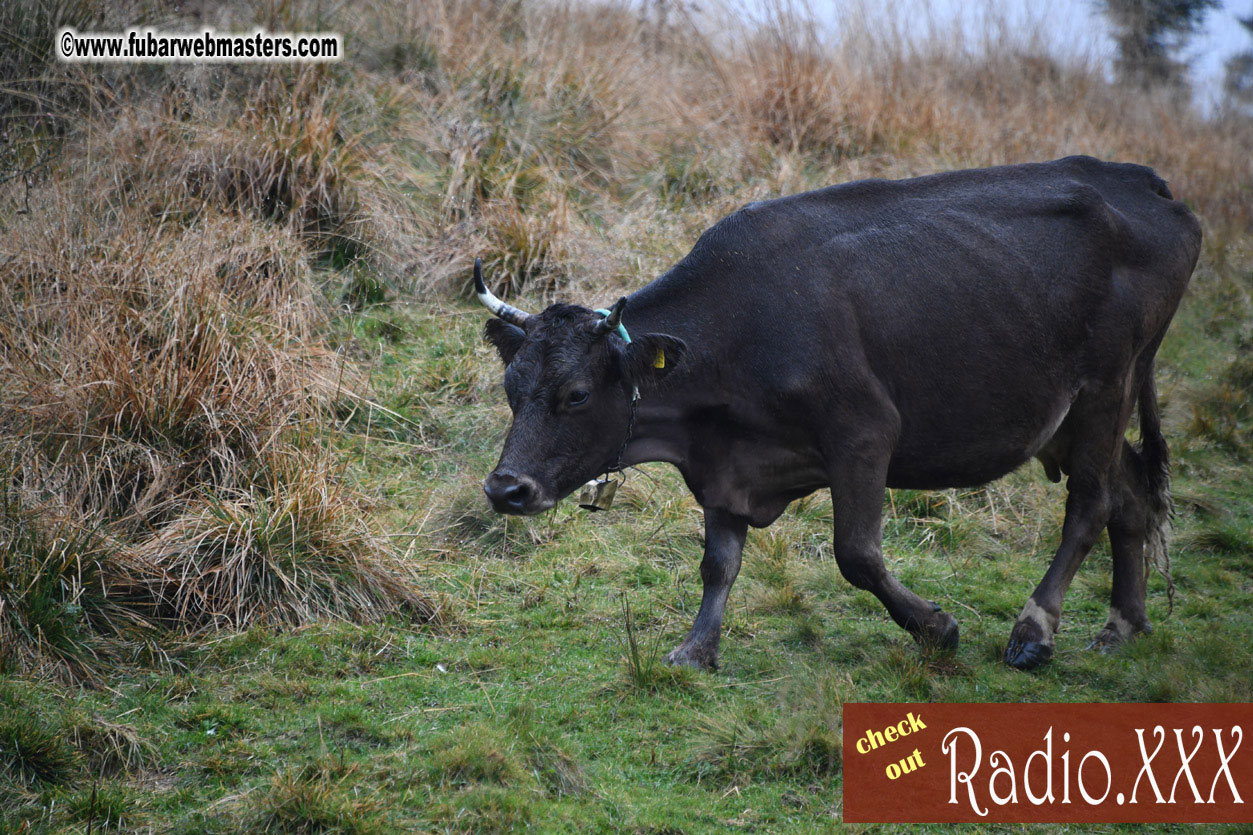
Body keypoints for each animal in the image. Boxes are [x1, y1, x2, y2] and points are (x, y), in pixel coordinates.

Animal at [471, 152, 1202, 666]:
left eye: (575, 394)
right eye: (510, 387)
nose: (506, 488)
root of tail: (1143, 183)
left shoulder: (864, 432)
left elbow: (855, 554)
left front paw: (936, 628)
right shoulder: (724, 465)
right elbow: (718, 562)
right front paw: (696, 648)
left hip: (1108, 385)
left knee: (1090, 503)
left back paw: (1034, 630)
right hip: (1071, 414)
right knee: (1131, 494)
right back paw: (1122, 624)